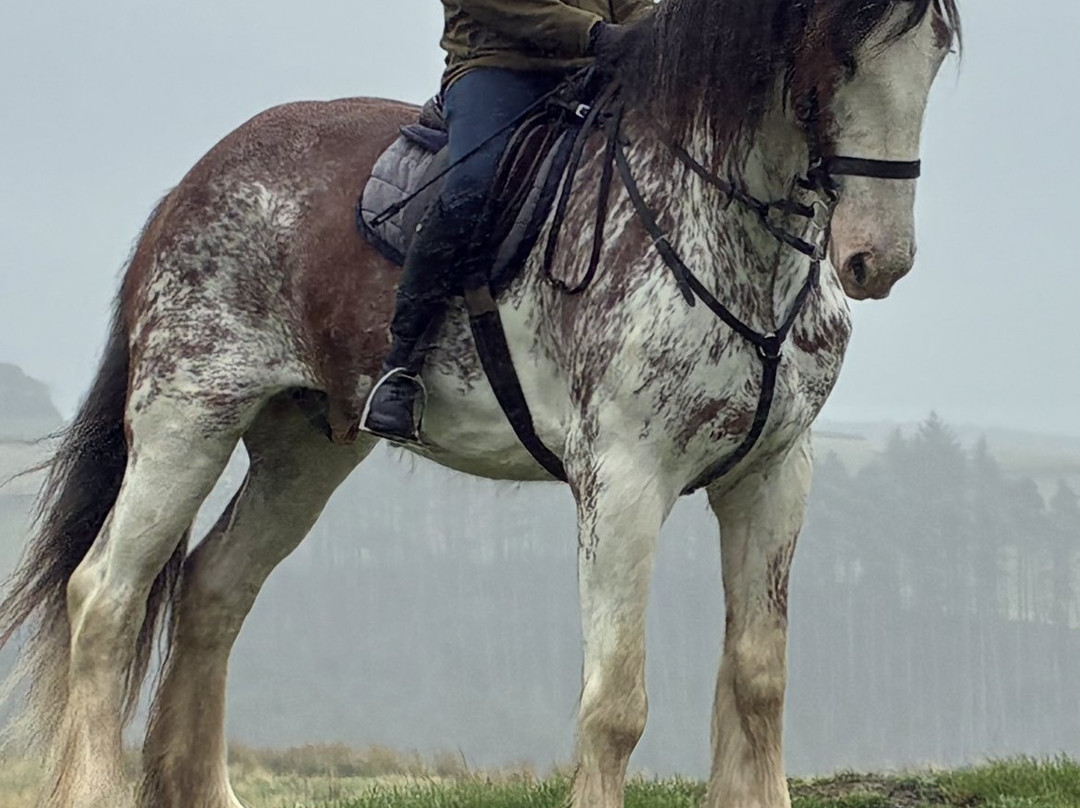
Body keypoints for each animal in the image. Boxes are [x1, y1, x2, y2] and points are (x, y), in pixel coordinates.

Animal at [0, 0, 960, 806]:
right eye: (841, 53)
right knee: (107, 598)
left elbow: (759, 678)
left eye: (936, 54)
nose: (878, 259)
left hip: (304, 453)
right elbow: (616, 702)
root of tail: (192, 183)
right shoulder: (623, 482)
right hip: (186, 423)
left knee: (212, 591)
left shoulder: (770, 476)